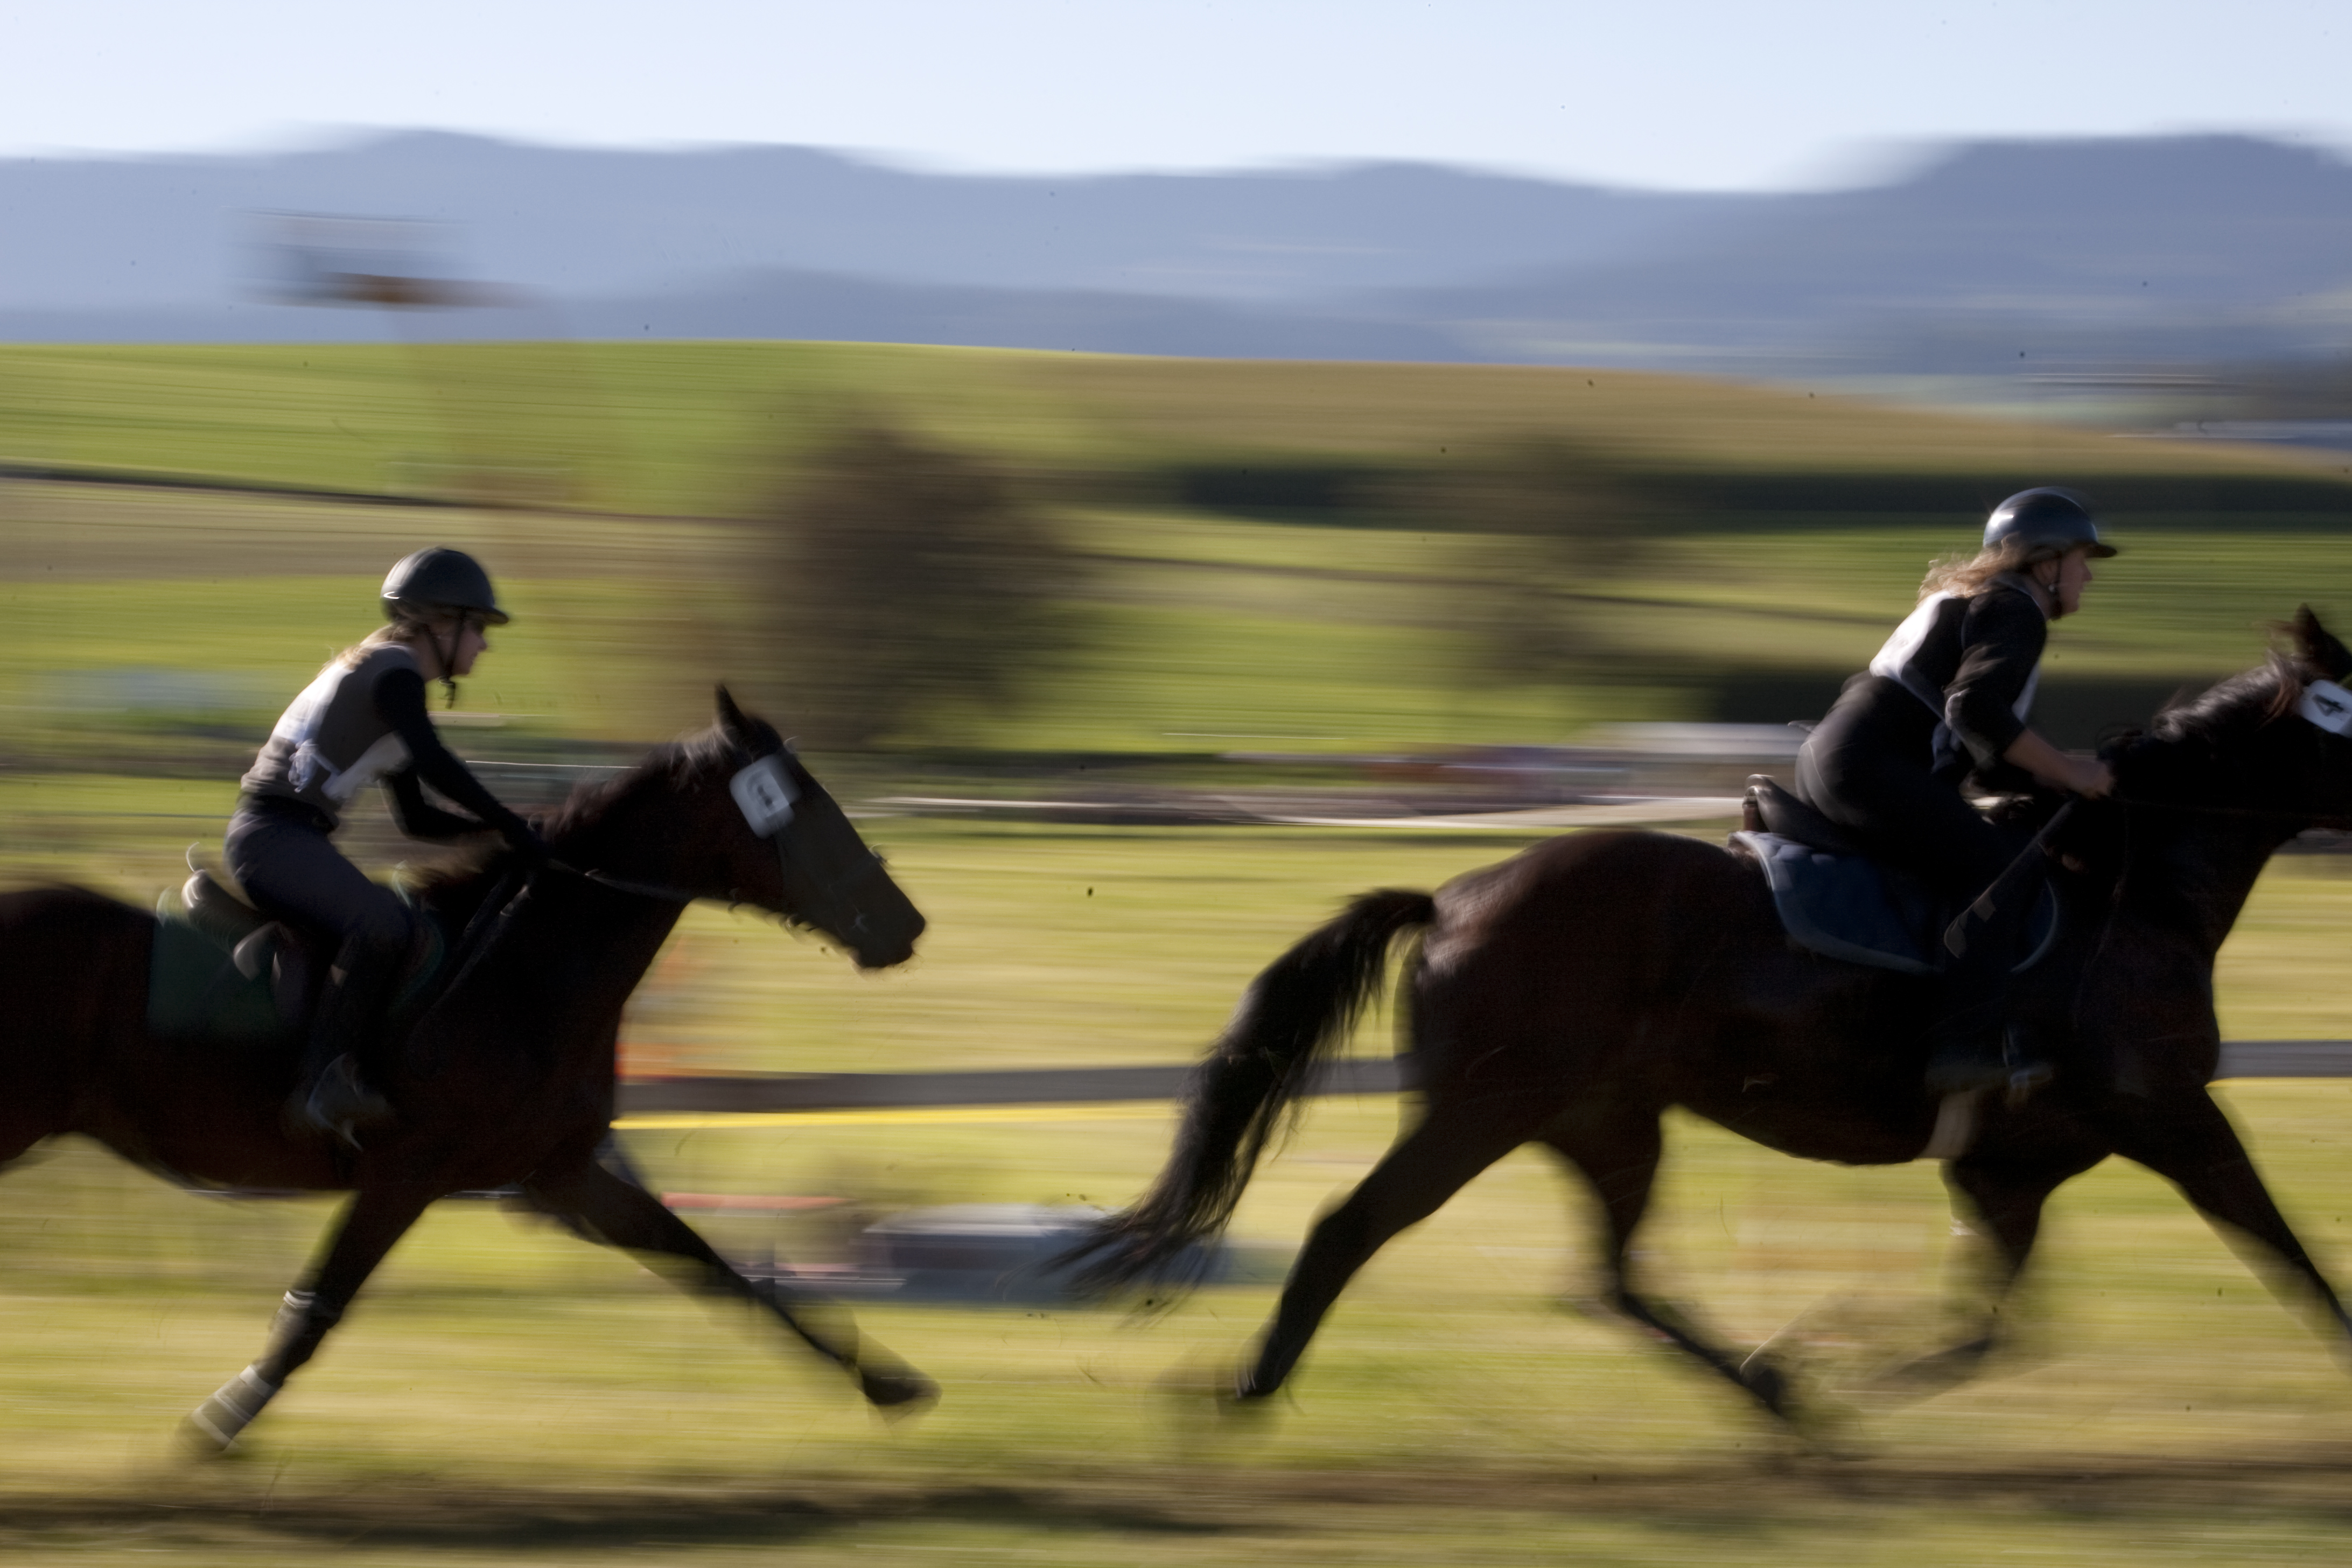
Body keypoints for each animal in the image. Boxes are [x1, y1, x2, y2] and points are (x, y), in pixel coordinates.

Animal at [0, 688, 935, 1451]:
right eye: (802, 803)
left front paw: (884, 1382)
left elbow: (717, 1267)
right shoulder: (405, 1176)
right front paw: (221, 1421)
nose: (905, 925)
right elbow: (315, 1311)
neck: (525, 974)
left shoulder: (561, 1173)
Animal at [1075, 607, 2352, 1430]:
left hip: (1604, 1120)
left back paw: (1772, 1392)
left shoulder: (2012, 1166)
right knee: (1355, 1226)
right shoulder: (2174, 1117)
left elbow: (1996, 1323)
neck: (2137, 882)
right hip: (1488, 1107)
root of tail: (1449, 898)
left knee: (1609, 1277)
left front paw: (1837, 1360)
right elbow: (2290, 1258)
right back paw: (1247, 1389)